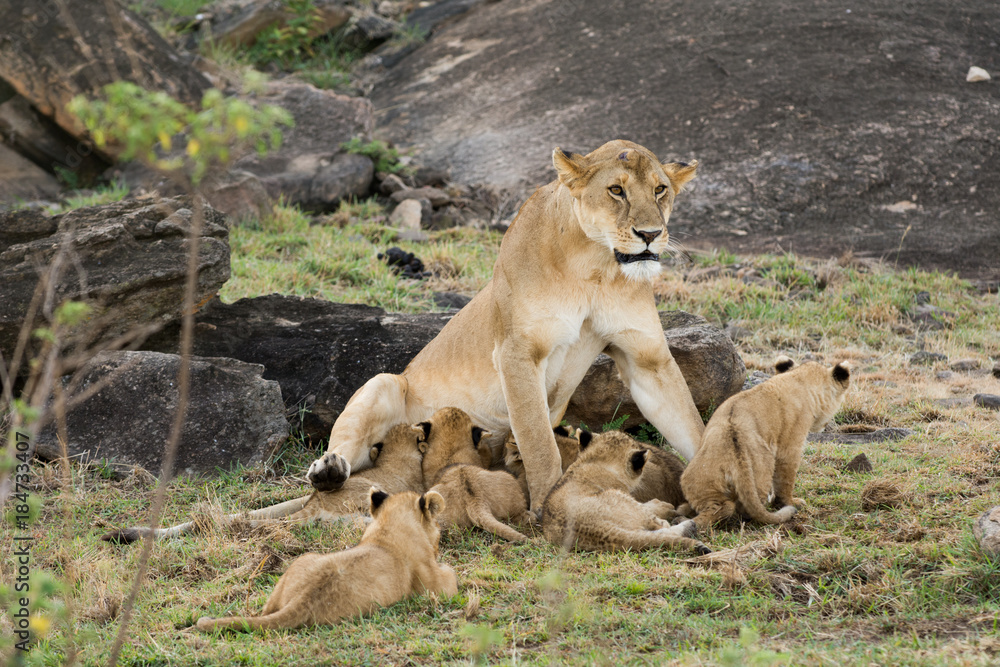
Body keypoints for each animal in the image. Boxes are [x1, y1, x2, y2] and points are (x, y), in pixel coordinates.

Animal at [306, 140, 705, 512]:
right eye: (616, 190)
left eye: (660, 189)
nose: (650, 234)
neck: (595, 266)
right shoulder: (518, 352)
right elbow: (540, 445)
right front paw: (547, 505)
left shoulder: (647, 360)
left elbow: (692, 427)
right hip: (384, 383)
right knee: (341, 466)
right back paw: (329, 470)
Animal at [542, 430, 709, 554]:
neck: (596, 460)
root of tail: (598, 530)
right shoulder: (623, 492)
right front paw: (661, 506)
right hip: (619, 498)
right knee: (657, 524)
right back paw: (682, 521)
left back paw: (688, 528)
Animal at [679, 357, 852, 531]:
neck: (798, 378)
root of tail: (736, 454)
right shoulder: (790, 444)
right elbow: (785, 480)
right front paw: (791, 502)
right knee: (743, 509)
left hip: (696, 478)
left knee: (720, 505)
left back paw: (684, 514)